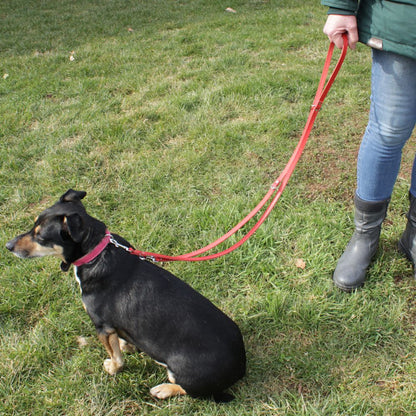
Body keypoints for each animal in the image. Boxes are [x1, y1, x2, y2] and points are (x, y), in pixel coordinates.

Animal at [6, 190, 245, 402]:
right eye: (32, 226)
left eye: (40, 236)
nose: (8, 246)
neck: (96, 252)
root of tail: (241, 366)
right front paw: (126, 345)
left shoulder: (102, 326)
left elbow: (116, 358)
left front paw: (112, 367)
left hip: (179, 370)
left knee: (190, 390)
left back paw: (163, 389)